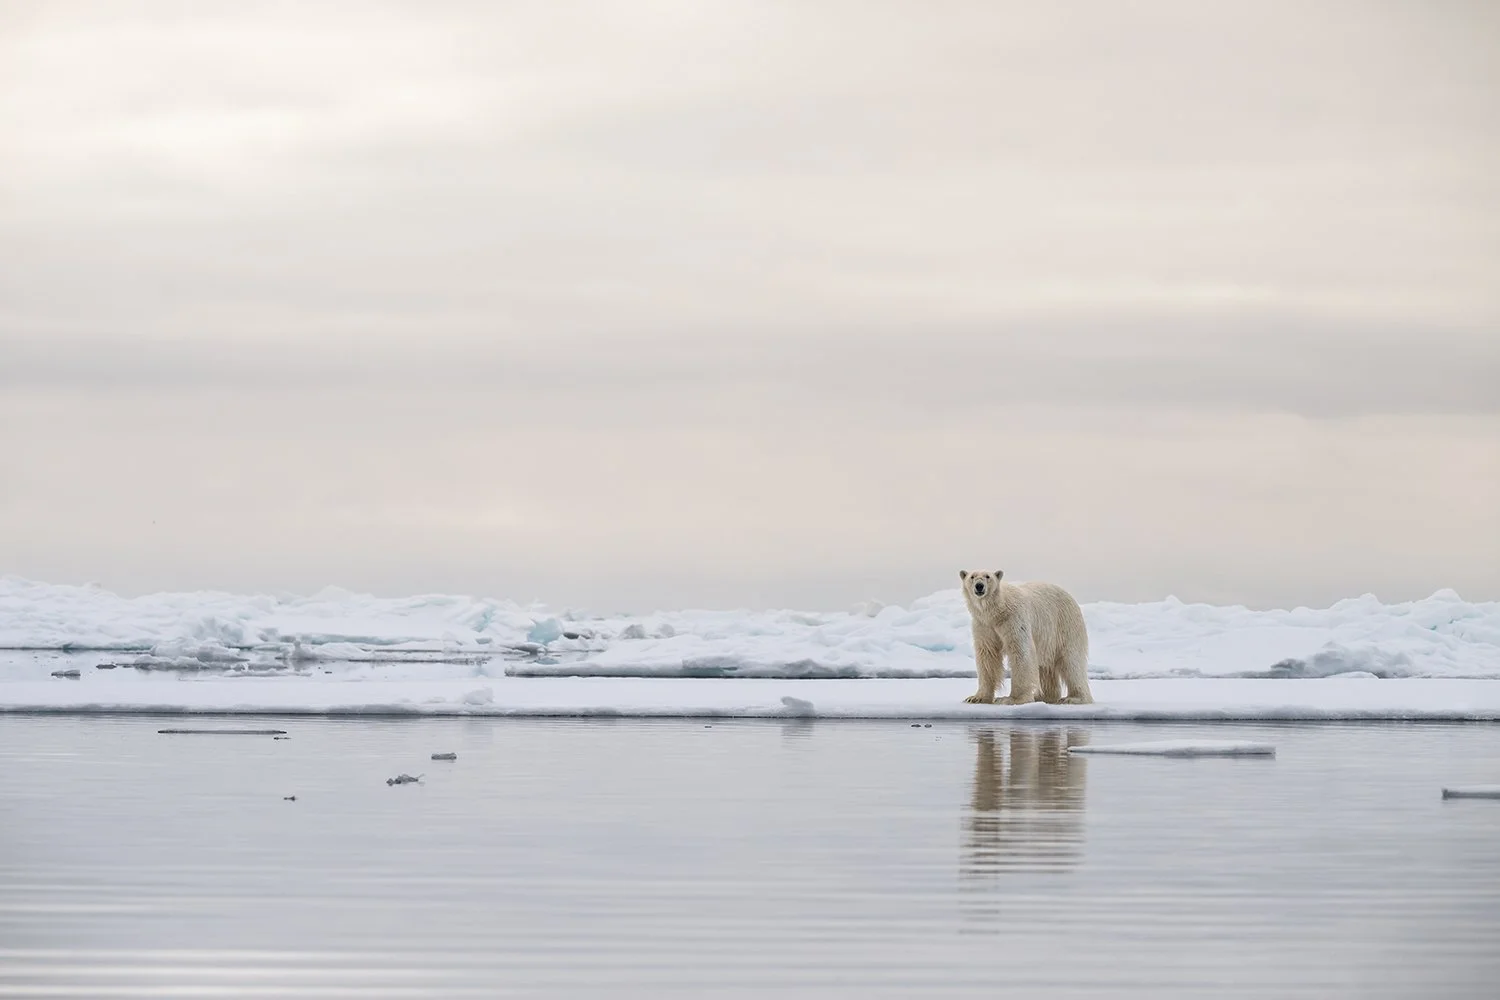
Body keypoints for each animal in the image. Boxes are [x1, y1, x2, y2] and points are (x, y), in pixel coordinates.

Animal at [959, 570, 1093, 705]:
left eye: (988, 576)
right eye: (972, 577)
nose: (979, 586)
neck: (996, 612)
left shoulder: (1013, 618)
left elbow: (1020, 652)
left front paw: (1011, 699)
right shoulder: (983, 625)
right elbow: (987, 655)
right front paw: (976, 698)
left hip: (1065, 624)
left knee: (1071, 661)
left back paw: (1073, 698)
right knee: (1046, 667)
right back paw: (1044, 696)